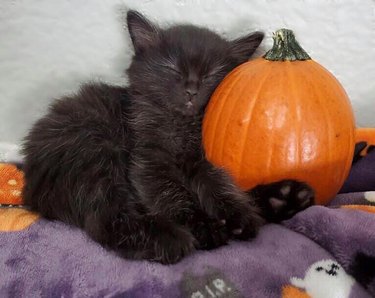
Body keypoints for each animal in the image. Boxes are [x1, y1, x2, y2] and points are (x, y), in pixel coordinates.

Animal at [22, 10, 312, 264]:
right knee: (105, 219)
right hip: (96, 150)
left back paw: (283, 198)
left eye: (211, 74)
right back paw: (170, 240)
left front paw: (236, 217)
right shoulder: (148, 163)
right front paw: (204, 226)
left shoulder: (204, 160)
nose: (192, 90)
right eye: (173, 69)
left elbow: (220, 184)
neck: (181, 127)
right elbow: (173, 194)